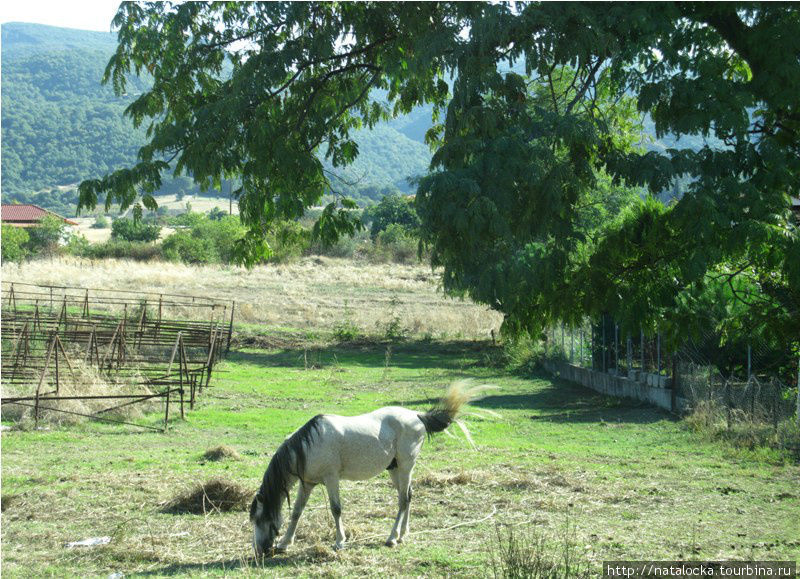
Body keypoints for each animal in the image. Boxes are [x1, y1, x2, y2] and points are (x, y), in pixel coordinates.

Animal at [248, 380, 488, 556]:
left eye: (259, 519)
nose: (260, 550)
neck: (308, 445)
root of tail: (417, 416)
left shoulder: (331, 479)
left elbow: (336, 509)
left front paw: (340, 541)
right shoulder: (307, 483)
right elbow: (297, 511)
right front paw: (285, 543)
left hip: (406, 466)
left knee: (404, 500)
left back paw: (392, 538)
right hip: (395, 469)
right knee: (408, 495)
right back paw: (403, 534)